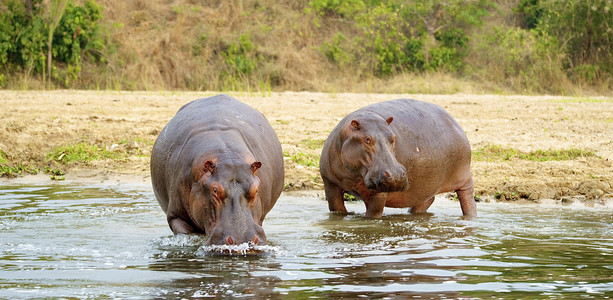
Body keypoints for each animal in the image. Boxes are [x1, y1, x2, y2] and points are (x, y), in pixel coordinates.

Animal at [318, 98, 476, 218]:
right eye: (367, 139)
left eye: (393, 136)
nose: (395, 175)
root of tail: (454, 121)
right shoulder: (330, 185)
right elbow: (337, 210)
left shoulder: (379, 195)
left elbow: (373, 214)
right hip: (426, 187)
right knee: (426, 201)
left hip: (464, 178)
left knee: (468, 199)